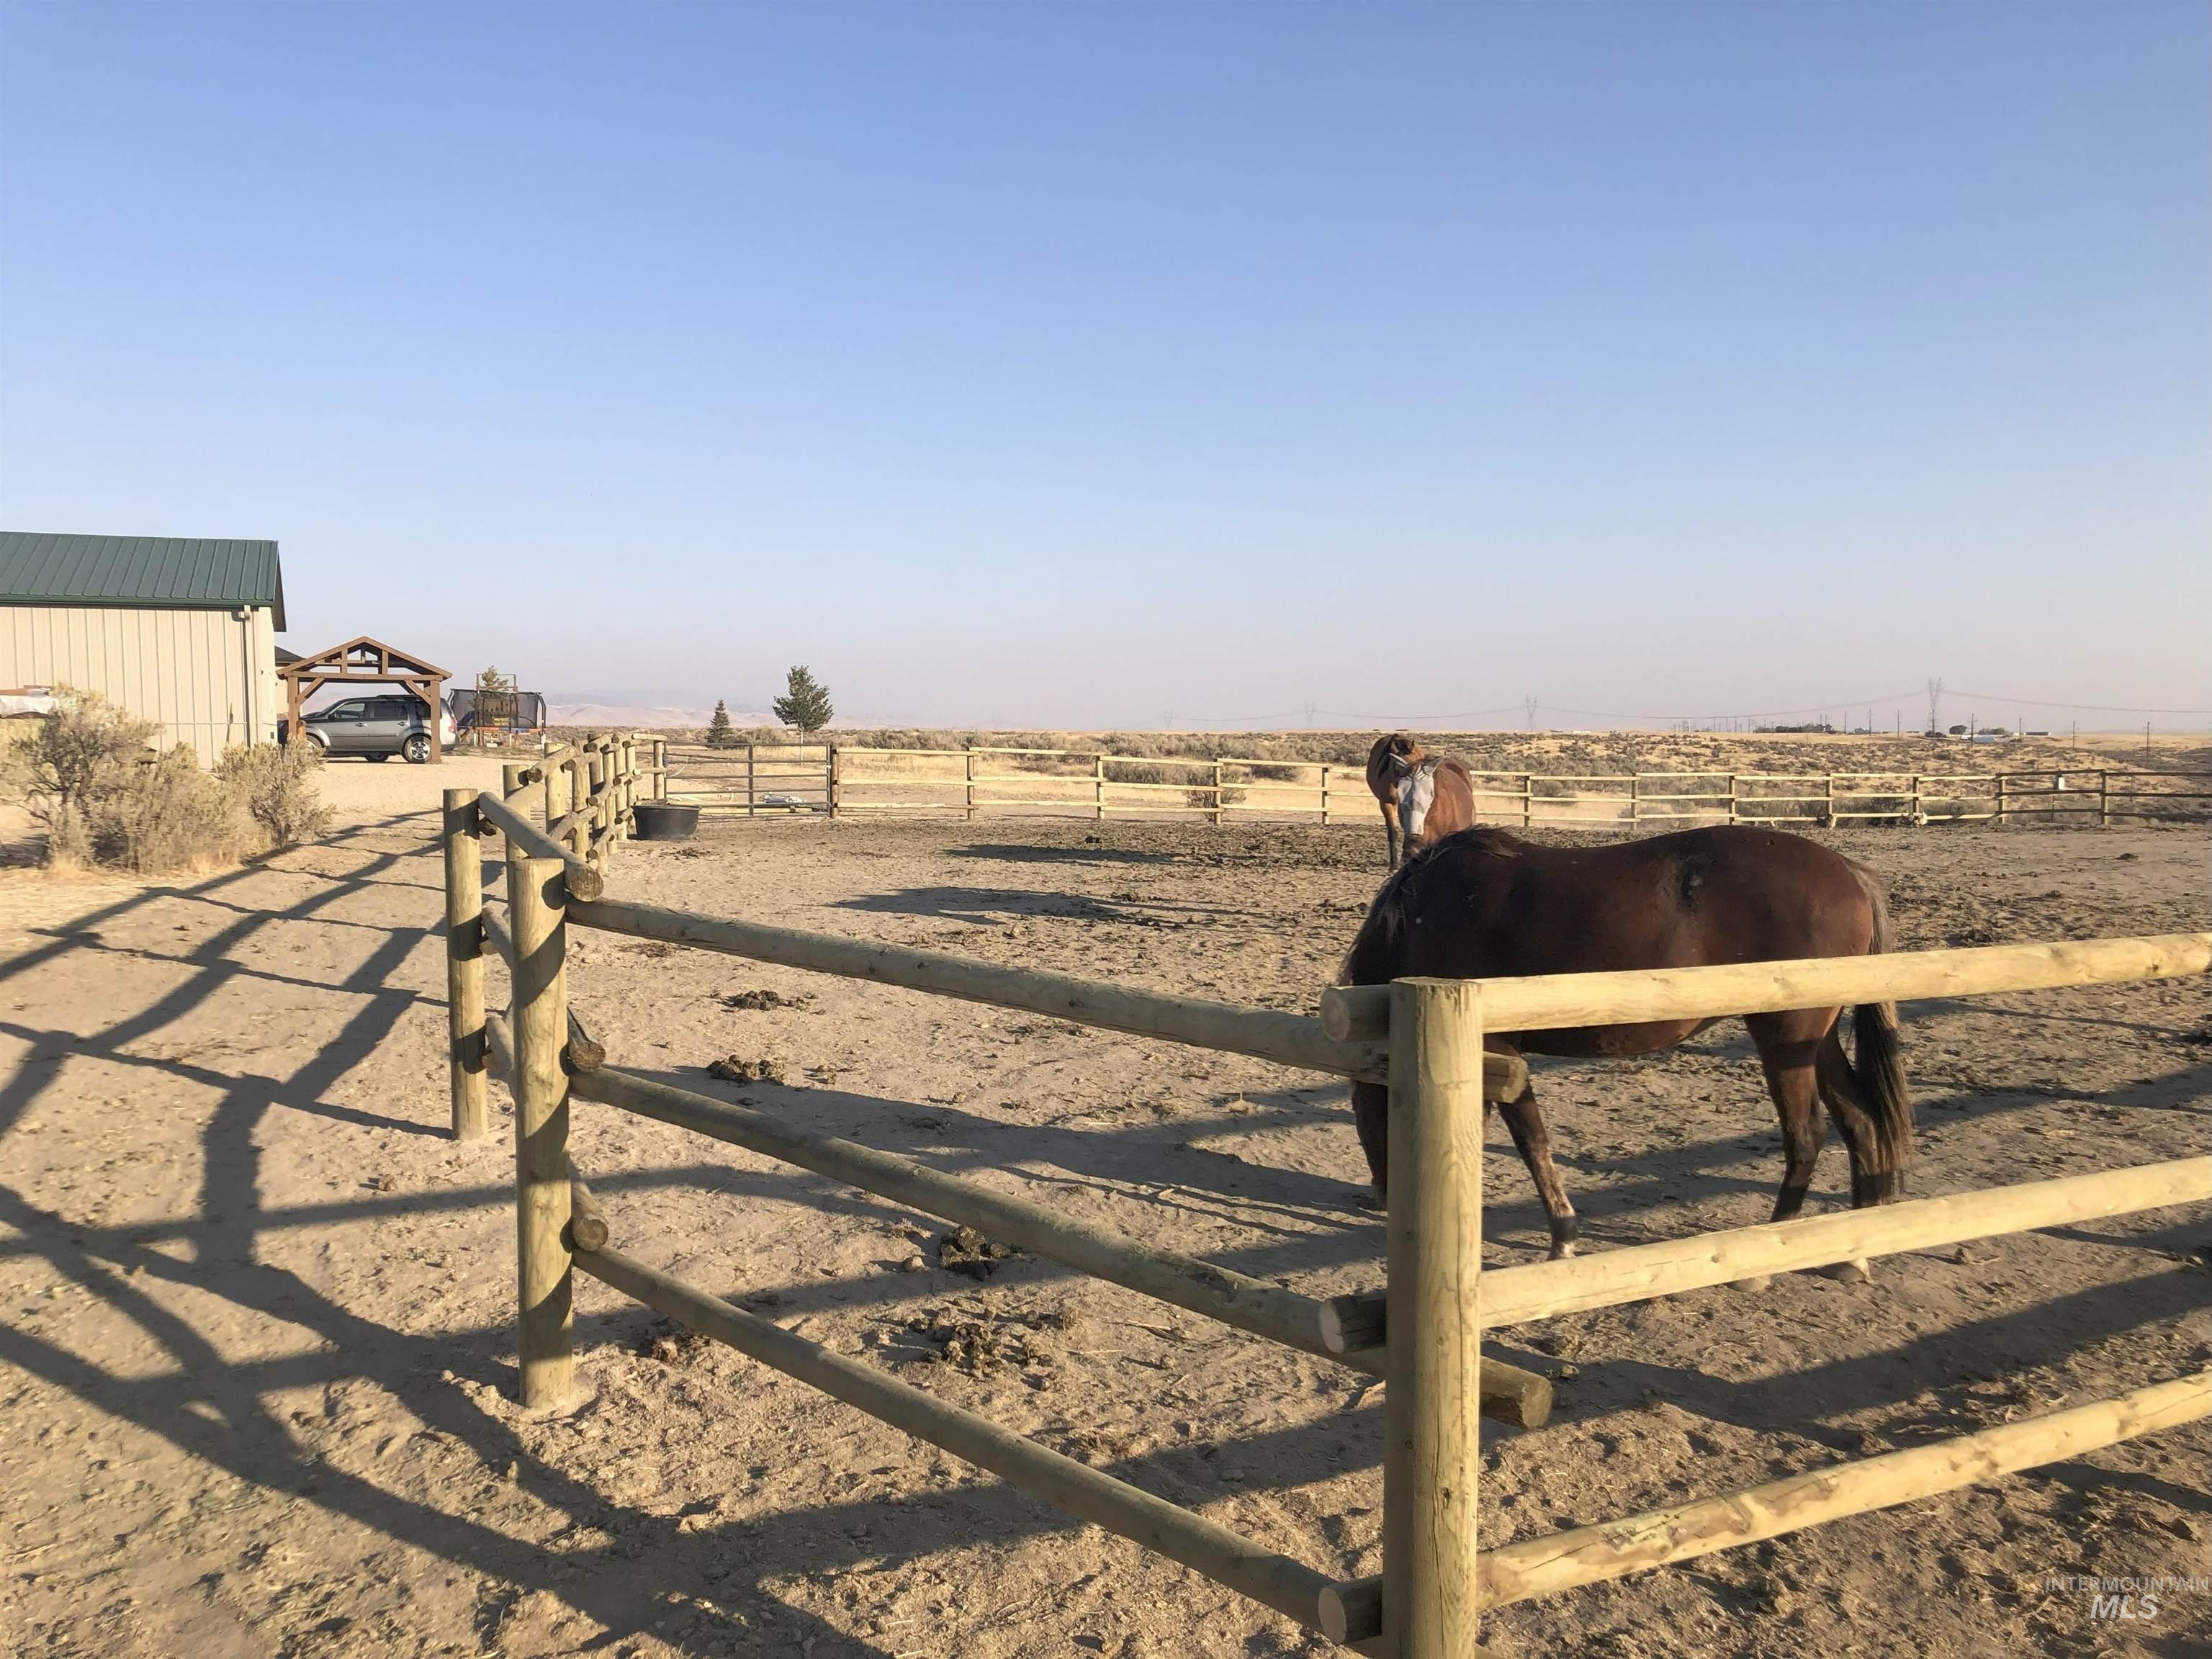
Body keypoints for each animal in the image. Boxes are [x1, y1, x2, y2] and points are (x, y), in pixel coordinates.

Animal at [1340, 825, 1913, 1276]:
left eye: (1370, 1120)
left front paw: (1563, 1239)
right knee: (1860, 1120)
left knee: (1806, 1136)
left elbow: (1530, 1141)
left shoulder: (1494, 1050)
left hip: (1783, 1035)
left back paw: (1769, 1258)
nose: (1383, 1199)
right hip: (1813, 1041)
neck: (1427, 915)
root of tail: (1850, 873)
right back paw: (1853, 1253)